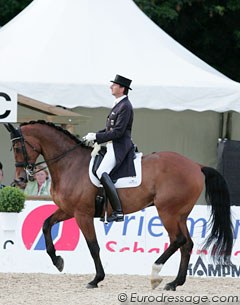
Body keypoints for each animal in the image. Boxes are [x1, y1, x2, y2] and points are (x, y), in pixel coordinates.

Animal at [4, 120, 232, 288]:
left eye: (16, 147)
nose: (20, 180)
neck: (70, 165)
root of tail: (196, 165)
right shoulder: (68, 210)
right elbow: (45, 224)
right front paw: (57, 260)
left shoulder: (82, 214)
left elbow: (93, 246)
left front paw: (96, 279)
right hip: (180, 215)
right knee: (187, 244)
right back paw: (175, 283)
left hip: (168, 212)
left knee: (178, 240)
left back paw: (155, 274)